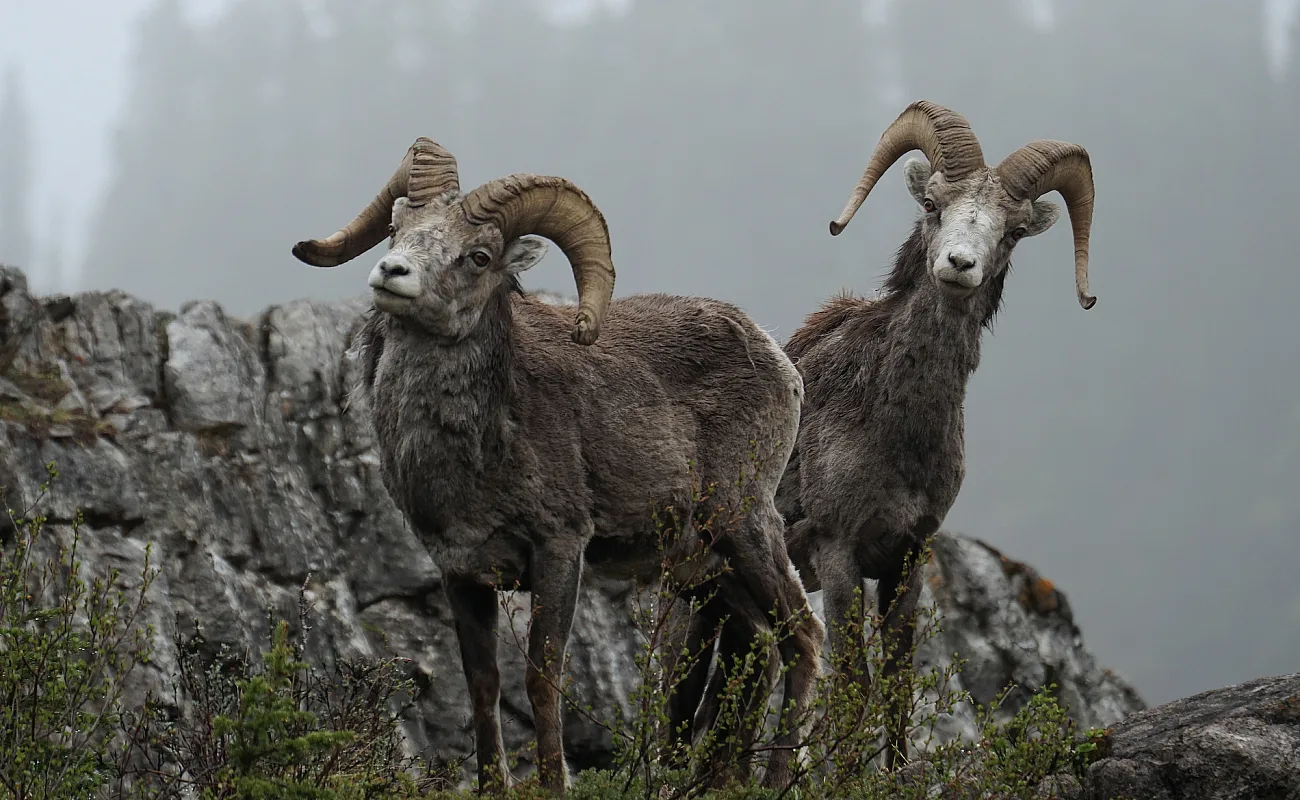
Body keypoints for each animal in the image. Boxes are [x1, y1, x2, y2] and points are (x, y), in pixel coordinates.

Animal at [289, 138, 825, 793]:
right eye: (398, 228)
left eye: (478, 256)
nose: (392, 273)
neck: (483, 449)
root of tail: (779, 360)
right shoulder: (462, 573)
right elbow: (483, 685)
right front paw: (493, 786)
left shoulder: (559, 550)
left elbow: (542, 679)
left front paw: (553, 783)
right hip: (710, 569)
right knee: (763, 645)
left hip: (744, 526)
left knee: (803, 639)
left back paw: (774, 779)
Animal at [681, 100, 1097, 771]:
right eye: (932, 204)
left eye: (1011, 231)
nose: (959, 265)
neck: (897, 437)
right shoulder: (838, 553)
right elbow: (856, 682)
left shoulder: (907, 557)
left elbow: (897, 688)